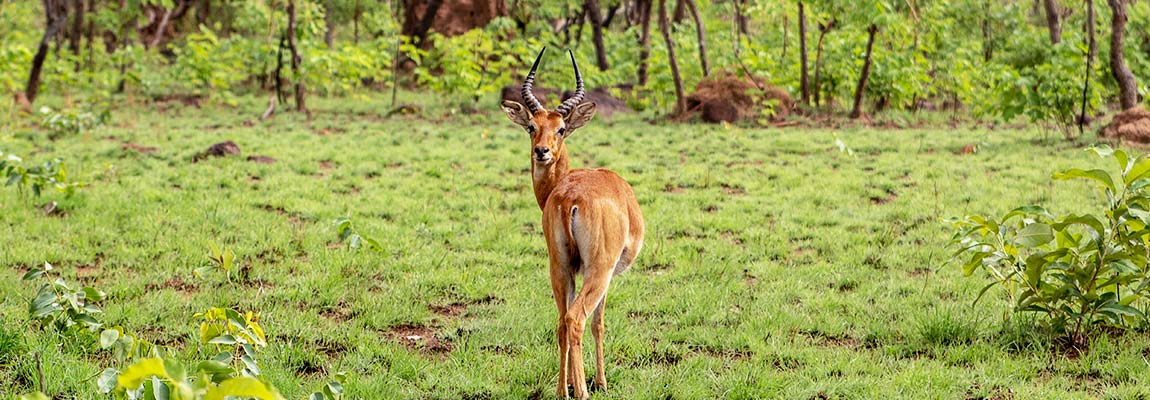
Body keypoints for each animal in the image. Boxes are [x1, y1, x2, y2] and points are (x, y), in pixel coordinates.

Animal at [501, 48, 648, 397]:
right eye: (531, 126)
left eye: (560, 128)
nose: (542, 152)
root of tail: (571, 199)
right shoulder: (609, 274)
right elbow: (599, 322)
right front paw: (601, 381)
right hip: (598, 270)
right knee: (577, 319)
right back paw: (582, 390)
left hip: (559, 266)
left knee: (561, 321)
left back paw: (561, 390)